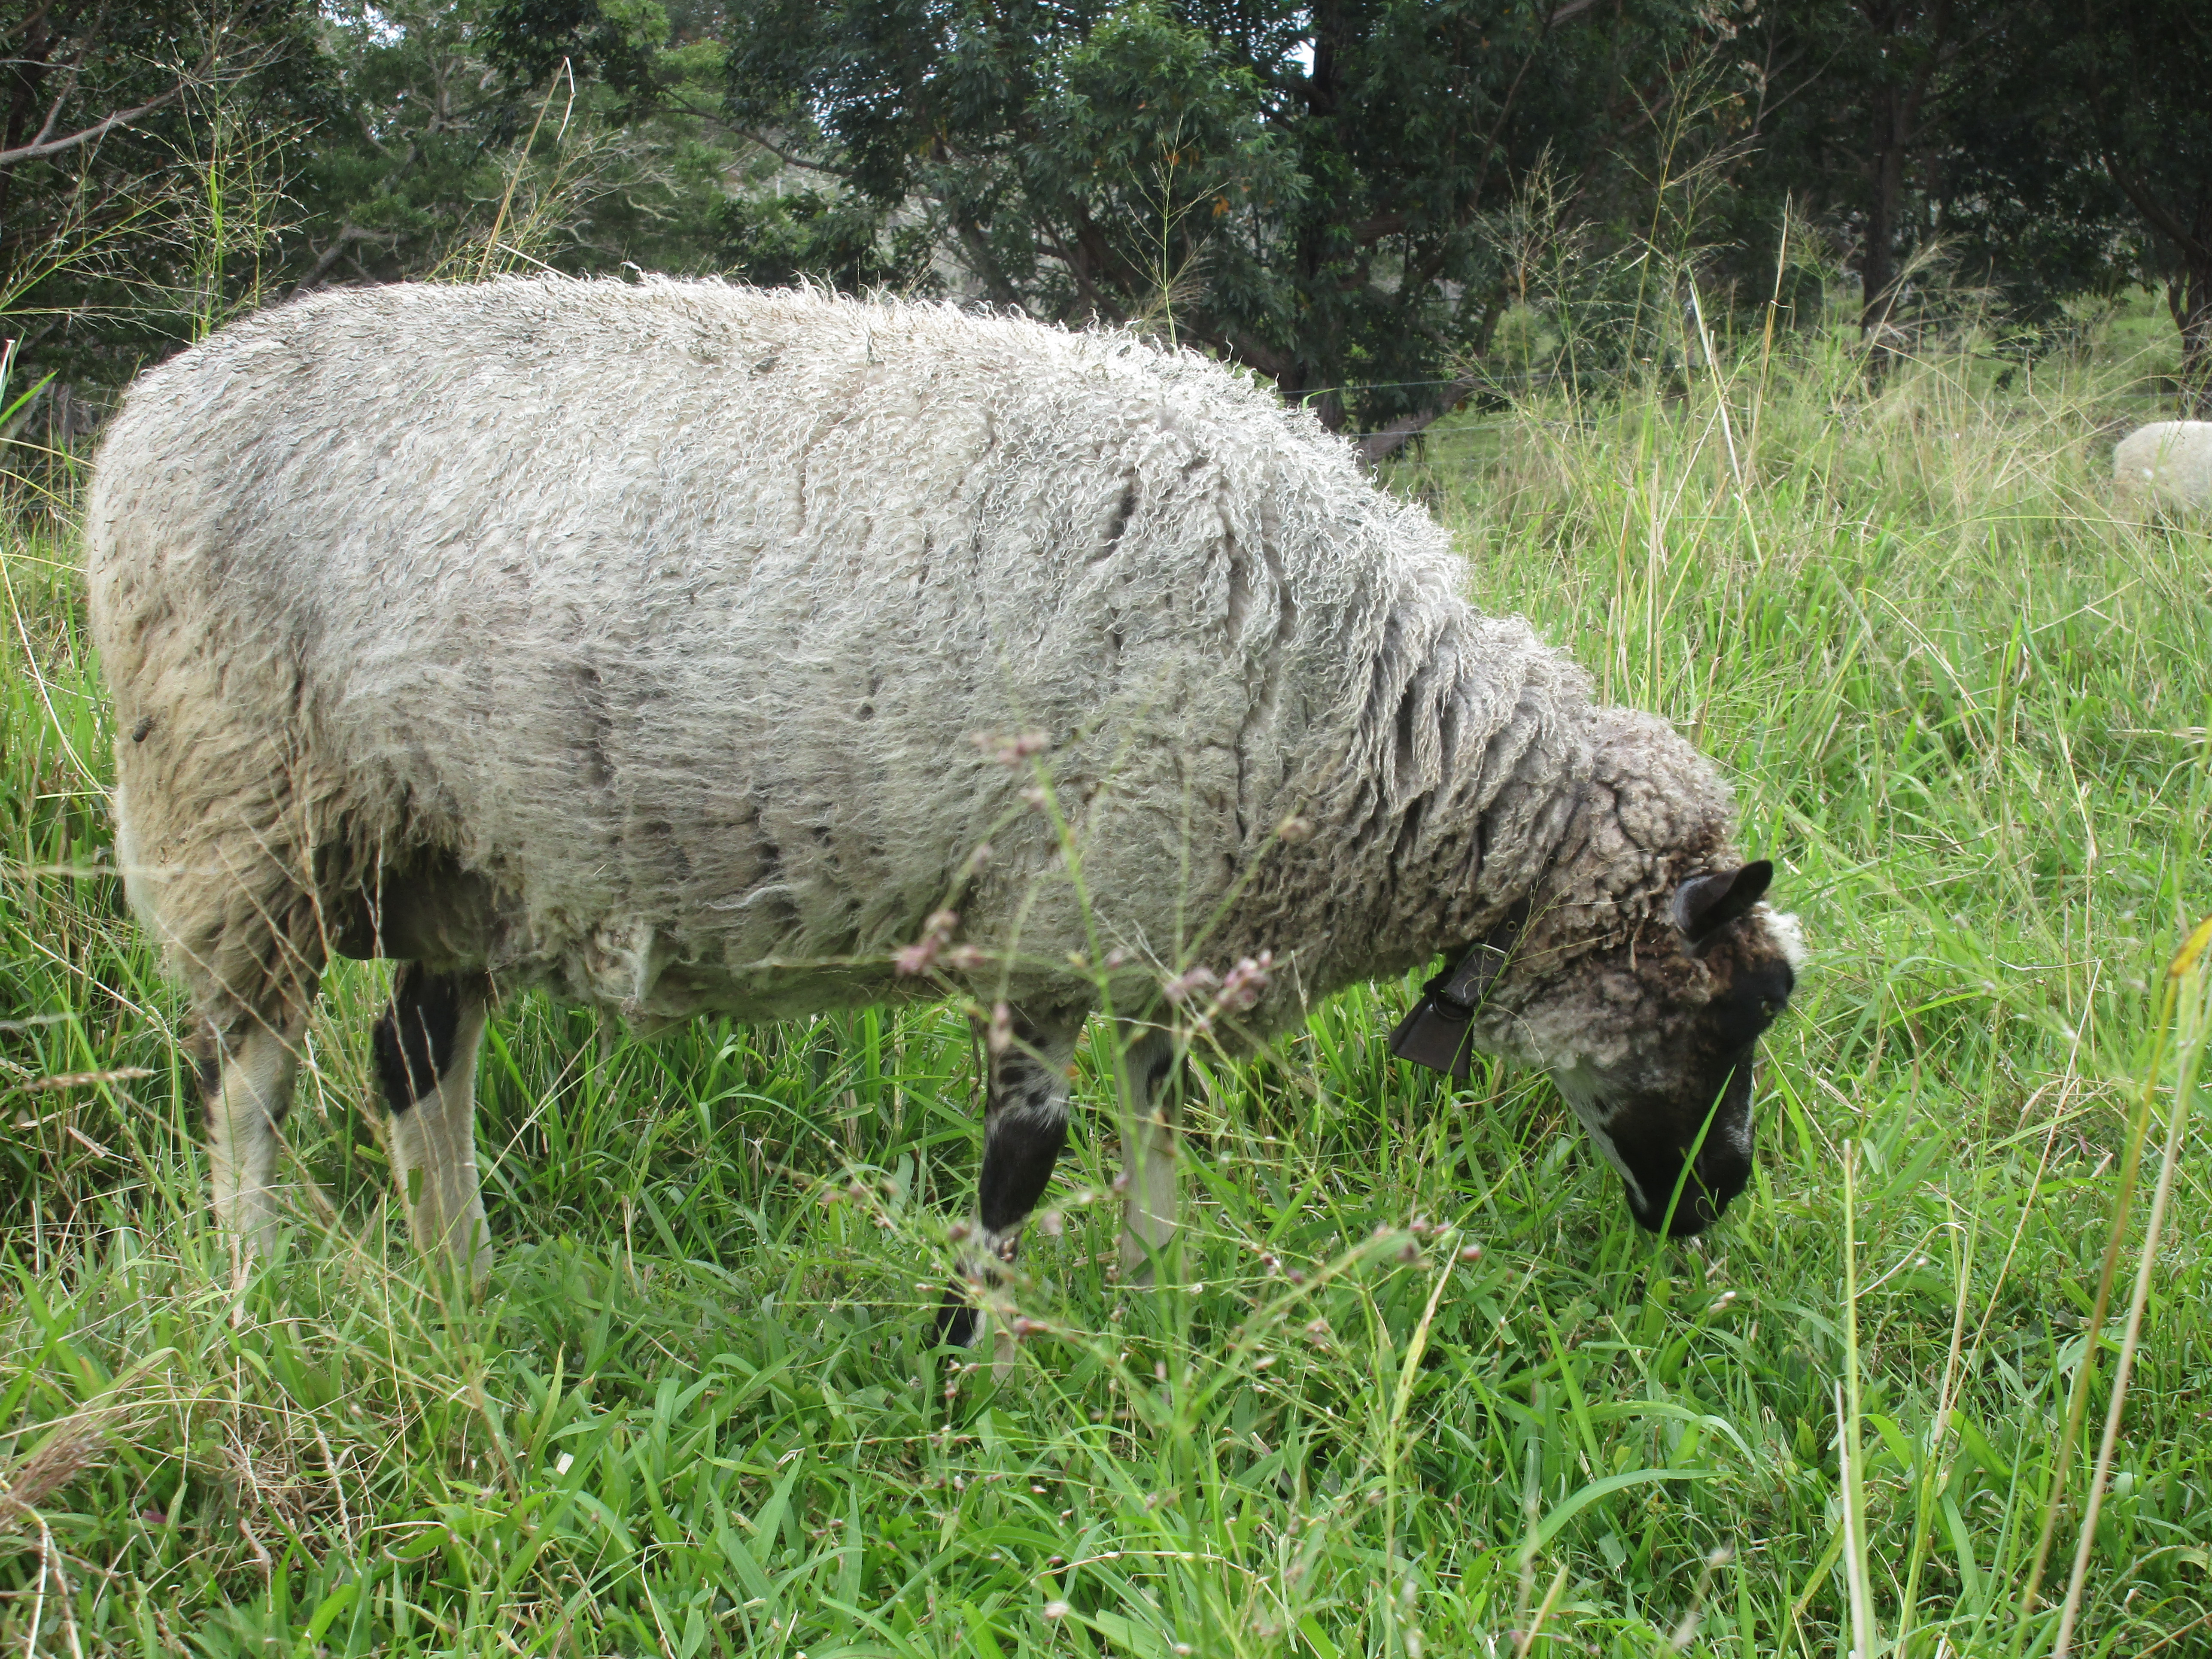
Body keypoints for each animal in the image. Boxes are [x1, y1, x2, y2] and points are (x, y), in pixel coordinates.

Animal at [95, 280, 1805, 1345]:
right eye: (1729, 1013)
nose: (1716, 1202)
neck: (1376, 726)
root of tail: (147, 403)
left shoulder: (1154, 933)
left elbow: (1157, 1132)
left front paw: (1154, 1316)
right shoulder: (1057, 917)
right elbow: (1021, 1165)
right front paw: (964, 1361)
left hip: (462, 854)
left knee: (409, 1064)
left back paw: (462, 1287)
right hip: (234, 811)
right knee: (248, 1085)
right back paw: (256, 1299)